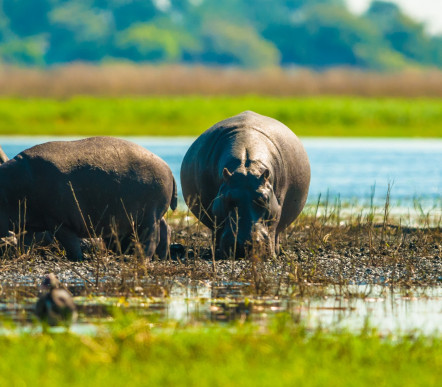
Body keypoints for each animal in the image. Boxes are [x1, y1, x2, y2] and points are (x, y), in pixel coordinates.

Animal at [0, 136, 176, 260]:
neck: (8, 189)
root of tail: (167, 167)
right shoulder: (30, 222)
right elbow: (25, 241)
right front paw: (20, 254)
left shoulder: (59, 221)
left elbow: (70, 242)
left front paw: (77, 258)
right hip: (154, 214)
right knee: (165, 229)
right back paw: (161, 258)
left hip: (149, 215)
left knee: (151, 238)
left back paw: (141, 259)